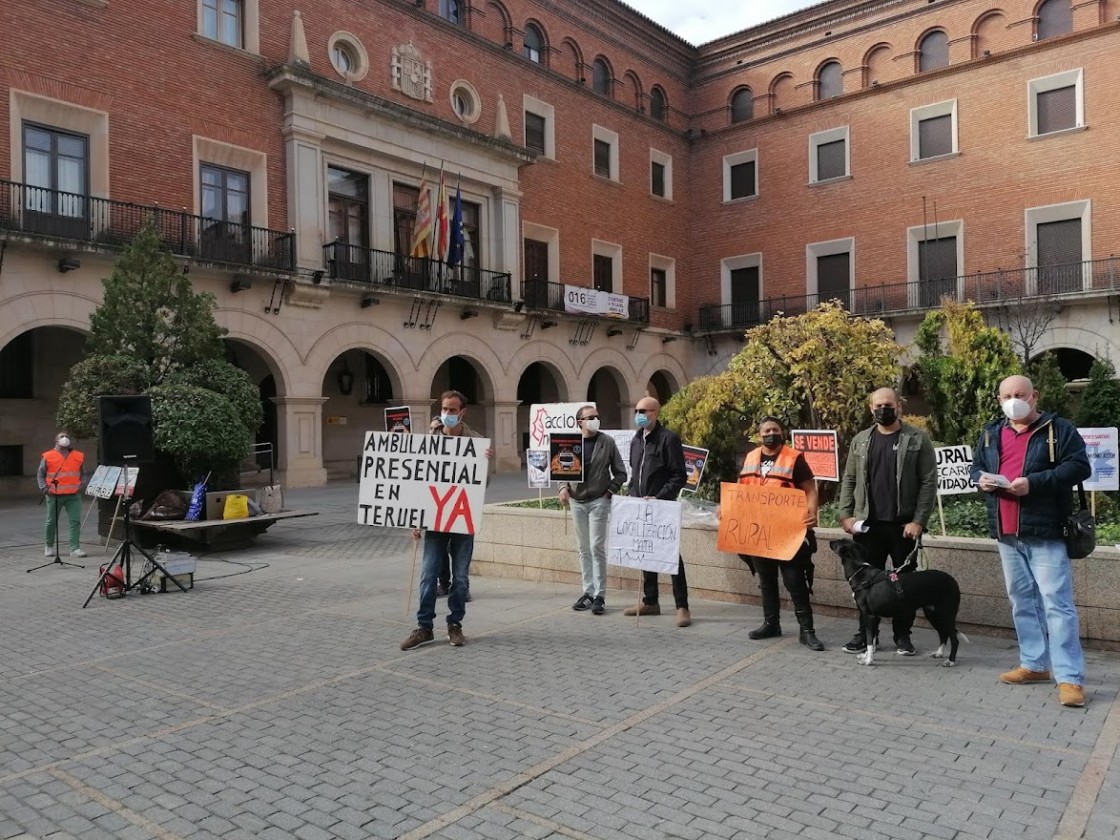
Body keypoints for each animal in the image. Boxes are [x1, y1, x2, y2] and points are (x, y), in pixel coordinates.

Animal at [828, 542, 967, 667]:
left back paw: (951, 661)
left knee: (954, 639)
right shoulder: (875, 617)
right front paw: (868, 655)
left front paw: (868, 661)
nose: (830, 542)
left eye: (838, 542)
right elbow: (872, 639)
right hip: (933, 614)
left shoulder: (869, 616)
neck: (860, 572)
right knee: (943, 634)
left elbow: (869, 640)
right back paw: (939, 653)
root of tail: (954, 581)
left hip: (946, 614)